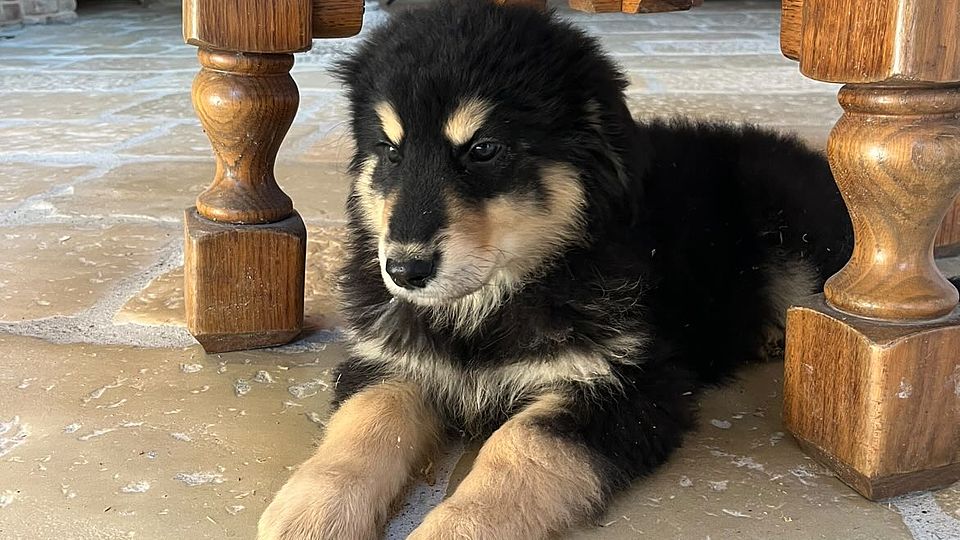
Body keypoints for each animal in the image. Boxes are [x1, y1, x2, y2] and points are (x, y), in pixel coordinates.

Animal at [257, 1, 855, 538]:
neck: (494, 301)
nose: (404, 270)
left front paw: (454, 525)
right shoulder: (392, 358)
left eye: (484, 149)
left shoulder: (626, 385)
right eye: (388, 150)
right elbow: (364, 423)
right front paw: (309, 512)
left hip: (795, 240)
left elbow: (521, 448)